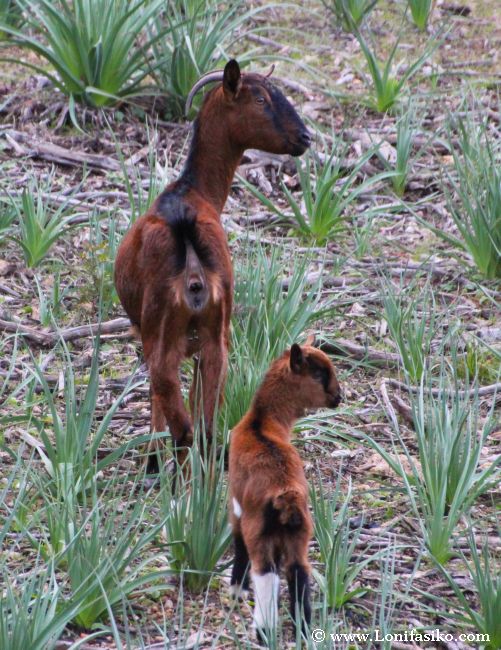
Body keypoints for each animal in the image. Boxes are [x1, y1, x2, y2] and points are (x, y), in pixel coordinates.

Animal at [114, 60, 311, 473]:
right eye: (261, 98)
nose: (304, 137)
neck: (194, 192)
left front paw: (151, 462)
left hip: (162, 333)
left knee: (182, 422)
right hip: (218, 336)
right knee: (204, 426)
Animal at [228, 343, 342, 638]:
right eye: (318, 374)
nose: (339, 396)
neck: (261, 423)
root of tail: (286, 495)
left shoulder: (235, 505)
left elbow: (238, 543)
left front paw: (237, 590)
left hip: (259, 531)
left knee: (266, 573)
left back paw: (263, 631)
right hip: (300, 532)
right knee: (298, 571)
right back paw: (304, 630)